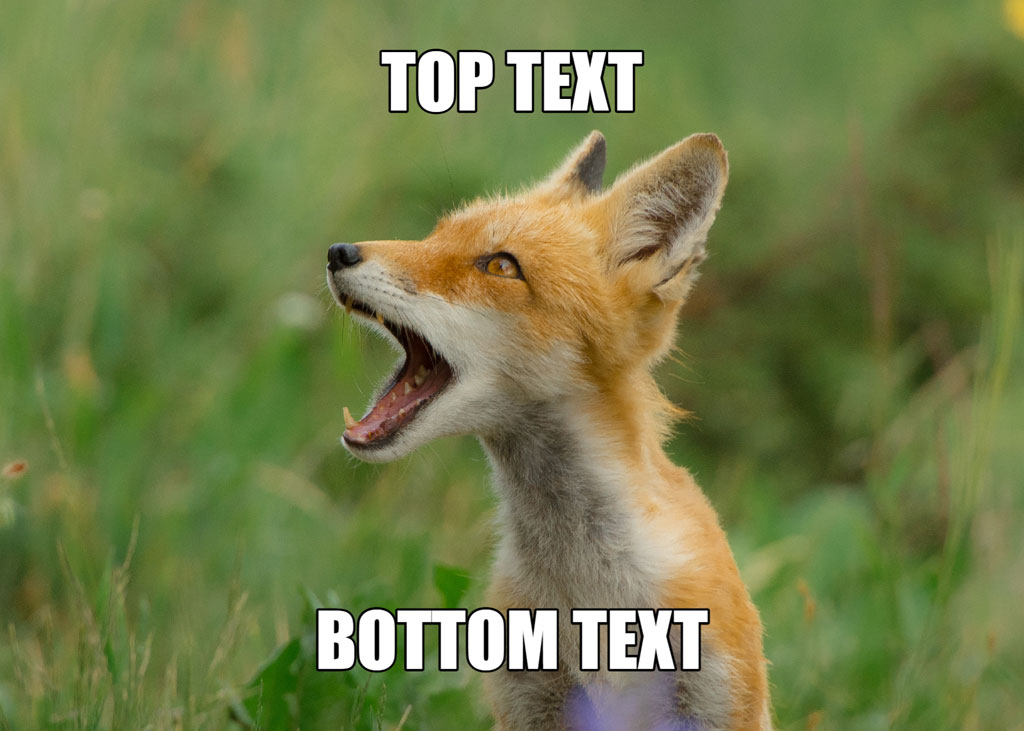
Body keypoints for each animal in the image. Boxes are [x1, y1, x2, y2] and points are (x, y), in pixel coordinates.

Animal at [325, 131, 771, 731]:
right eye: (435, 236)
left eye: (500, 266)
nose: (338, 252)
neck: (586, 589)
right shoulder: (530, 701)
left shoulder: (718, 697)